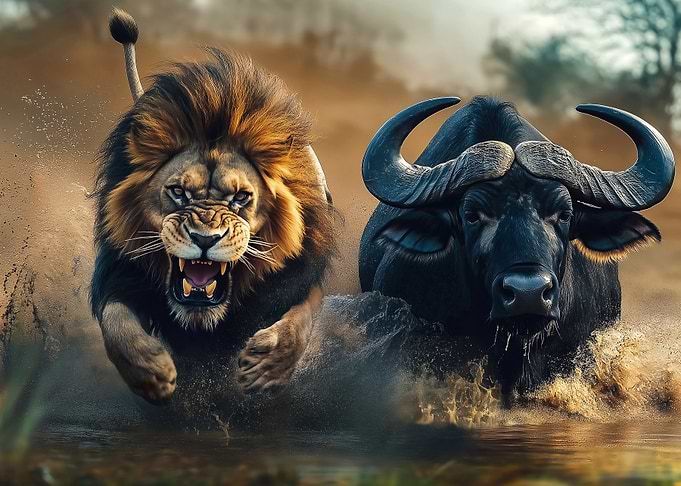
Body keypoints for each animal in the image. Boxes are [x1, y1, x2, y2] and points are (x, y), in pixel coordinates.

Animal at [90, 9, 334, 405]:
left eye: (241, 198)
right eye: (178, 192)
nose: (205, 239)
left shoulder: (302, 275)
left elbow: (300, 320)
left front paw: (266, 368)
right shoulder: (120, 273)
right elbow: (116, 322)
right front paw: (151, 372)